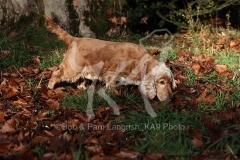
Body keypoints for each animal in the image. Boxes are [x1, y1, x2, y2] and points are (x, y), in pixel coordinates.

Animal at [44, 15, 175, 101]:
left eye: (170, 82)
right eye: (162, 82)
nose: (171, 98)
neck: (141, 61)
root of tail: (74, 39)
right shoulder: (111, 73)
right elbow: (112, 88)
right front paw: (116, 96)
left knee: (78, 80)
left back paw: (83, 89)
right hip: (72, 69)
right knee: (55, 74)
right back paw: (49, 89)